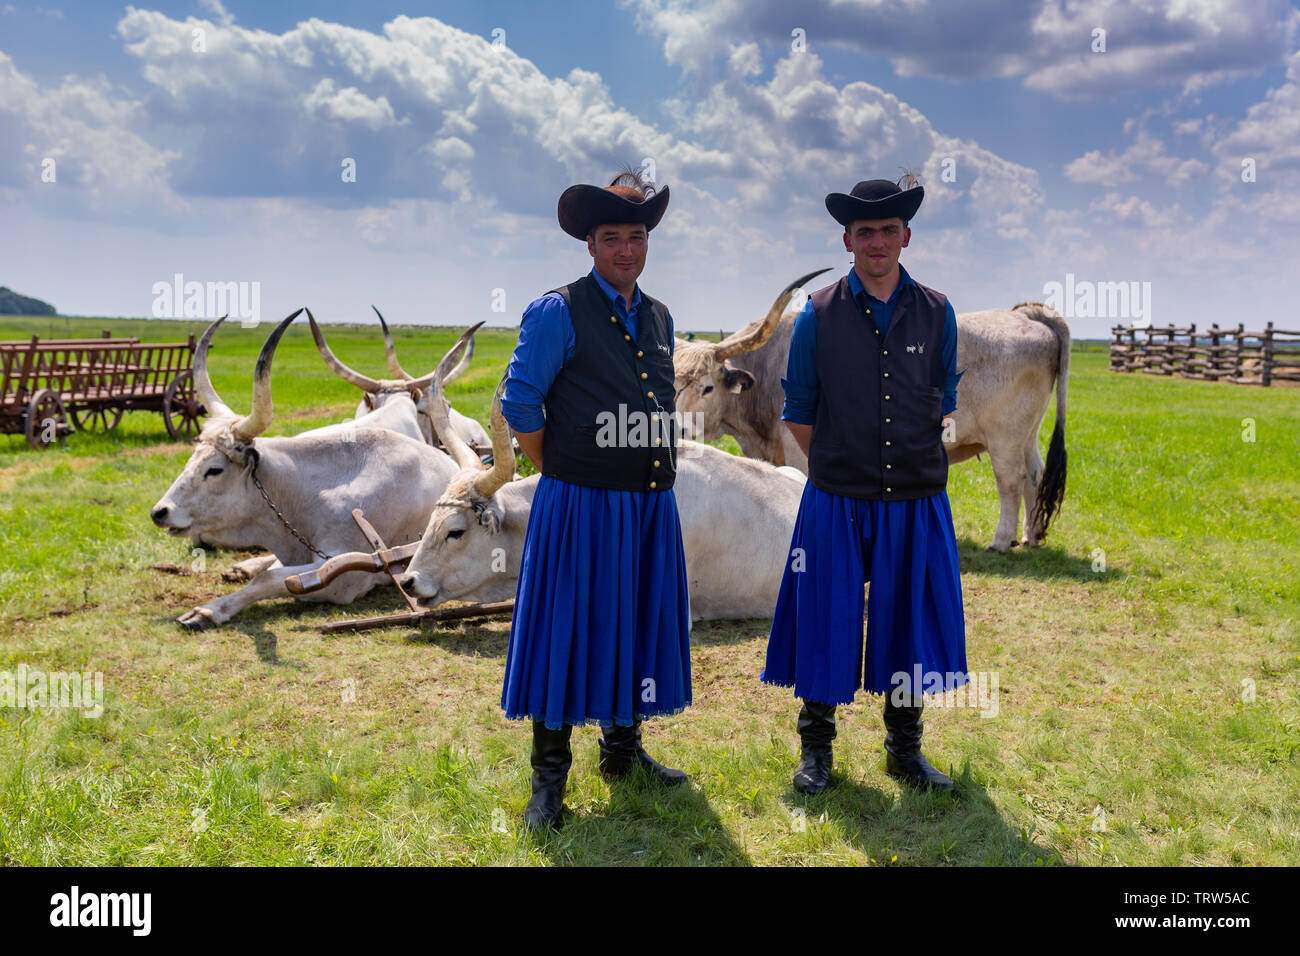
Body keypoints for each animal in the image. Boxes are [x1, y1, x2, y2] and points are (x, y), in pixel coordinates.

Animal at [149, 310, 465, 632]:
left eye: (214, 470)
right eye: (192, 457)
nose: (159, 512)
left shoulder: (344, 580)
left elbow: (270, 578)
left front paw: (211, 609)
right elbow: (268, 572)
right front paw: (211, 607)